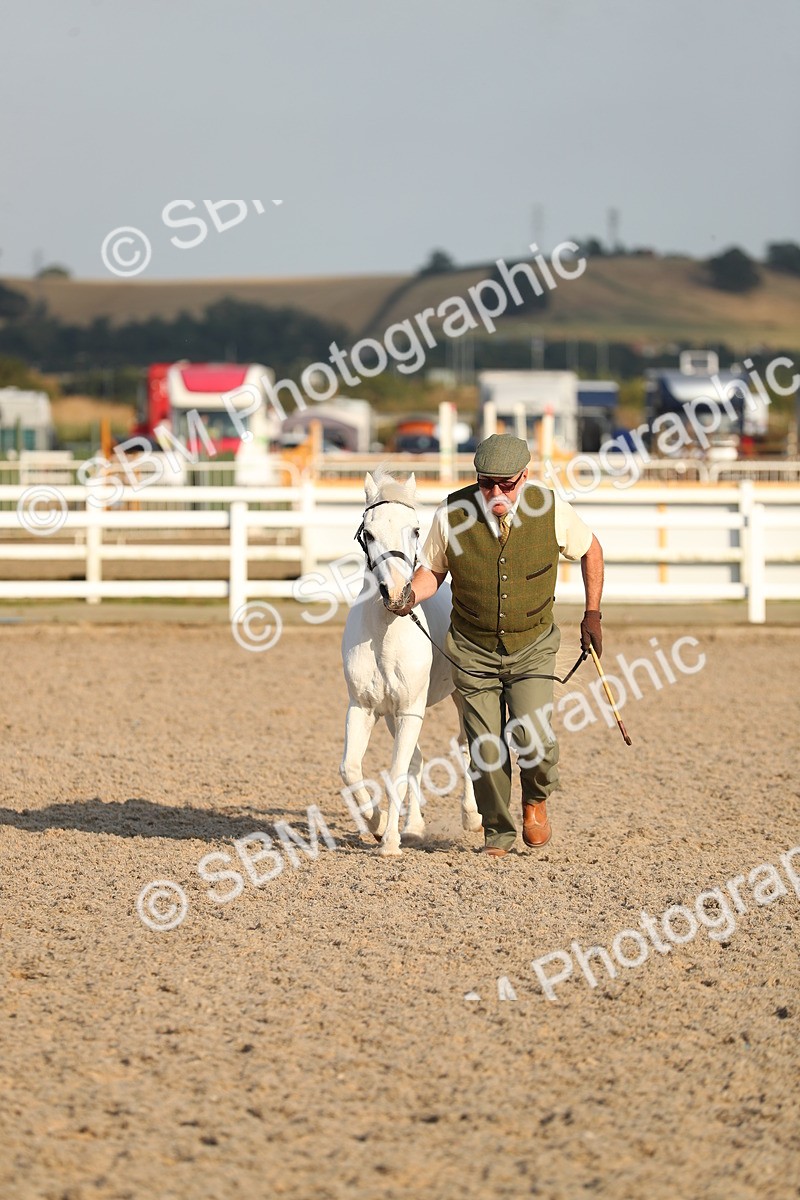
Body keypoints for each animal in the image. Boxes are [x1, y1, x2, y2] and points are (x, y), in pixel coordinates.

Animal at [340, 468, 482, 856]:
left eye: (417, 529)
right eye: (368, 532)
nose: (396, 593)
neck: (385, 638)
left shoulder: (410, 710)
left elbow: (396, 775)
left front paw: (389, 843)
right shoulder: (364, 708)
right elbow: (351, 769)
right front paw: (375, 824)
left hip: (458, 698)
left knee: (467, 748)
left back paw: (472, 818)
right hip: (392, 715)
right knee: (418, 759)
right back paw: (414, 828)